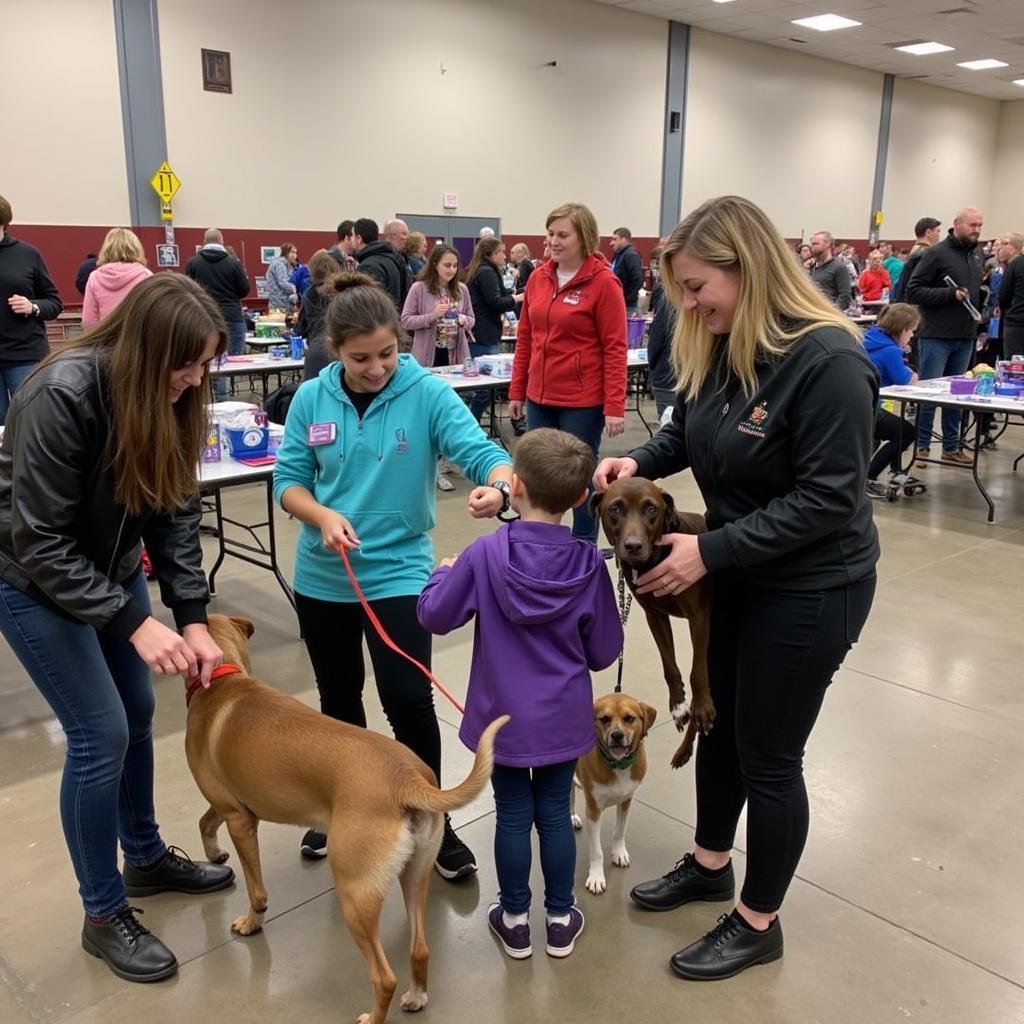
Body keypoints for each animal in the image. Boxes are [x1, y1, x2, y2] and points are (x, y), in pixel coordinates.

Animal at [187, 614, 507, 1024]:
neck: (224, 680)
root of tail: (406, 779)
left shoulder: (238, 818)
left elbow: (256, 889)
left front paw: (251, 921)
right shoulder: (230, 805)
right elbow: (204, 822)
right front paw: (214, 854)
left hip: (355, 894)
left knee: (383, 977)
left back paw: (373, 1015)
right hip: (414, 876)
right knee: (420, 949)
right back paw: (417, 996)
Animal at [569, 692, 655, 892]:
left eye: (629, 718)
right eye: (604, 719)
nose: (617, 735)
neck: (618, 764)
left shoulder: (626, 801)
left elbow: (620, 831)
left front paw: (619, 853)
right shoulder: (593, 810)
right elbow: (596, 851)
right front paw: (596, 877)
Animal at [593, 479, 712, 770]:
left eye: (651, 509)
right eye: (615, 509)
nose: (633, 546)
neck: (654, 560)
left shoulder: (699, 615)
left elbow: (697, 672)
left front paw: (701, 707)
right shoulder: (654, 615)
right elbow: (669, 664)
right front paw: (678, 704)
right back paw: (684, 750)